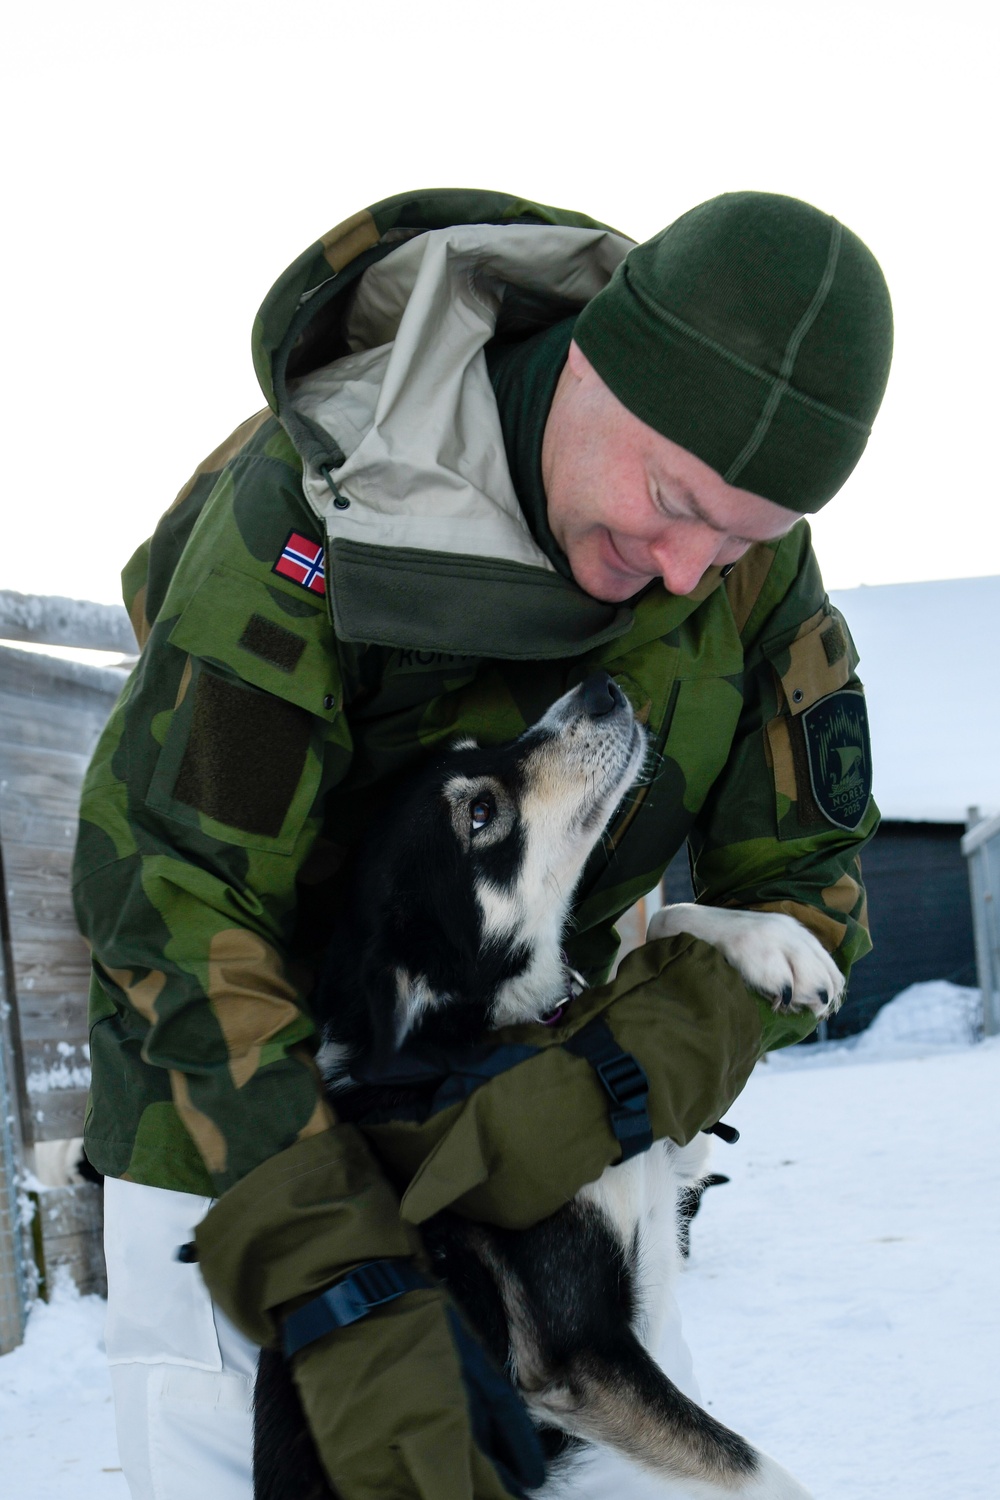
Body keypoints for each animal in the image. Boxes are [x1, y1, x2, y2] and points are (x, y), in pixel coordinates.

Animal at [254, 675, 839, 1494]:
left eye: (476, 748)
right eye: (480, 813)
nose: (598, 689)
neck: (499, 1040)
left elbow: (670, 921)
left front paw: (776, 945)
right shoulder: (580, 1354)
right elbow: (759, 1471)